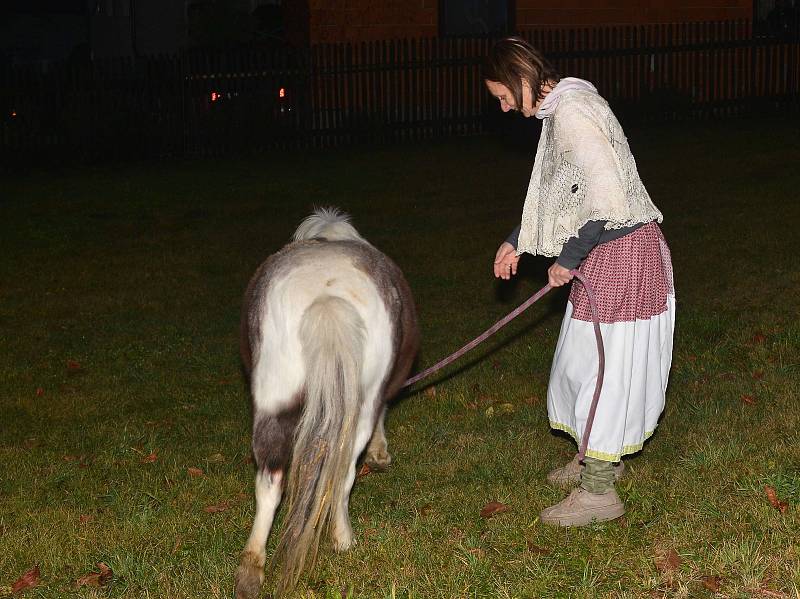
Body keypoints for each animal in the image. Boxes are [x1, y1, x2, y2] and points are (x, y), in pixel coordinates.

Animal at [234, 207, 418, 599]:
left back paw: (251, 569)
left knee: (269, 480)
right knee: (344, 470)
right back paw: (343, 538)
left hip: (273, 397)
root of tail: (325, 298)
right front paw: (380, 454)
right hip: (359, 404)